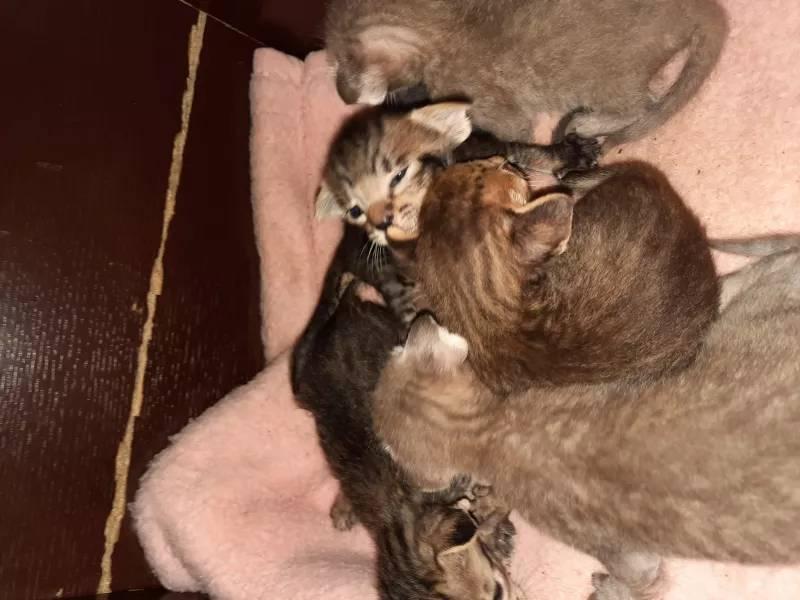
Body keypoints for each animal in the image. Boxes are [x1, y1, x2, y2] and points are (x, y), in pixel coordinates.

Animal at [325, 0, 728, 146]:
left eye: (340, 64)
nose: (341, 96)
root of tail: (698, 8)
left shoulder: (495, 108)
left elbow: (514, 138)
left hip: (608, 81)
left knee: (644, 105)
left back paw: (590, 123)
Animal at [370, 237, 800, 600]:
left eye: (395, 350)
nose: (418, 323)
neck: (492, 430)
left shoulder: (619, 550)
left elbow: (642, 578)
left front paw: (610, 589)